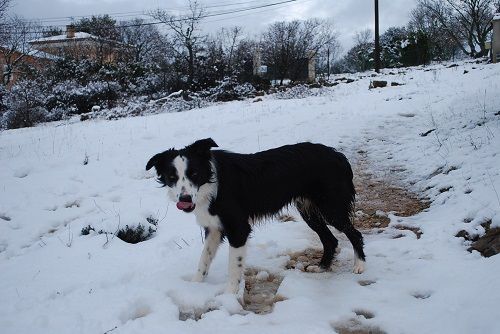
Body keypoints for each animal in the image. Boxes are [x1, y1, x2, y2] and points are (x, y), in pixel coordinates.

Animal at [146, 138, 366, 294]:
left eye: (194, 173)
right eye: (172, 177)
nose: (184, 198)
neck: (211, 185)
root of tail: (338, 155)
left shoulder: (238, 228)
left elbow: (234, 267)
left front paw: (229, 296)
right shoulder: (214, 229)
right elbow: (204, 260)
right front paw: (194, 286)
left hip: (331, 208)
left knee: (354, 234)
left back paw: (359, 266)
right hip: (308, 211)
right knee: (330, 240)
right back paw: (321, 267)